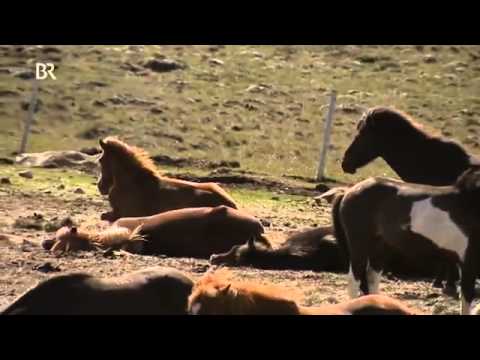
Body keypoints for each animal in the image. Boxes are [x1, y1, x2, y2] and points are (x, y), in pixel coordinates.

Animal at [332, 167, 480, 314]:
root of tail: (348, 191)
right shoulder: (468, 263)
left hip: (380, 246)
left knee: (372, 277)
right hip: (359, 246)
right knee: (354, 280)